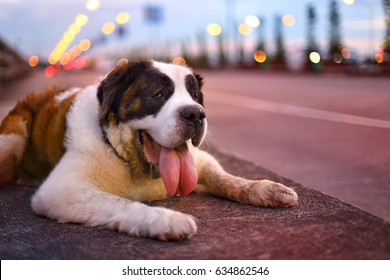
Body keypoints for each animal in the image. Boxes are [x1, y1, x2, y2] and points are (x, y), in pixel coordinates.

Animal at [0, 60, 298, 241]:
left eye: (195, 97)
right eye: (157, 95)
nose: (195, 114)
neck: (129, 159)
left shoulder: (199, 161)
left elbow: (224, 177)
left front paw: (265, 188)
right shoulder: (62, 190)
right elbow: (120, 202)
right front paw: (167, 221)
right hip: (12, 138)